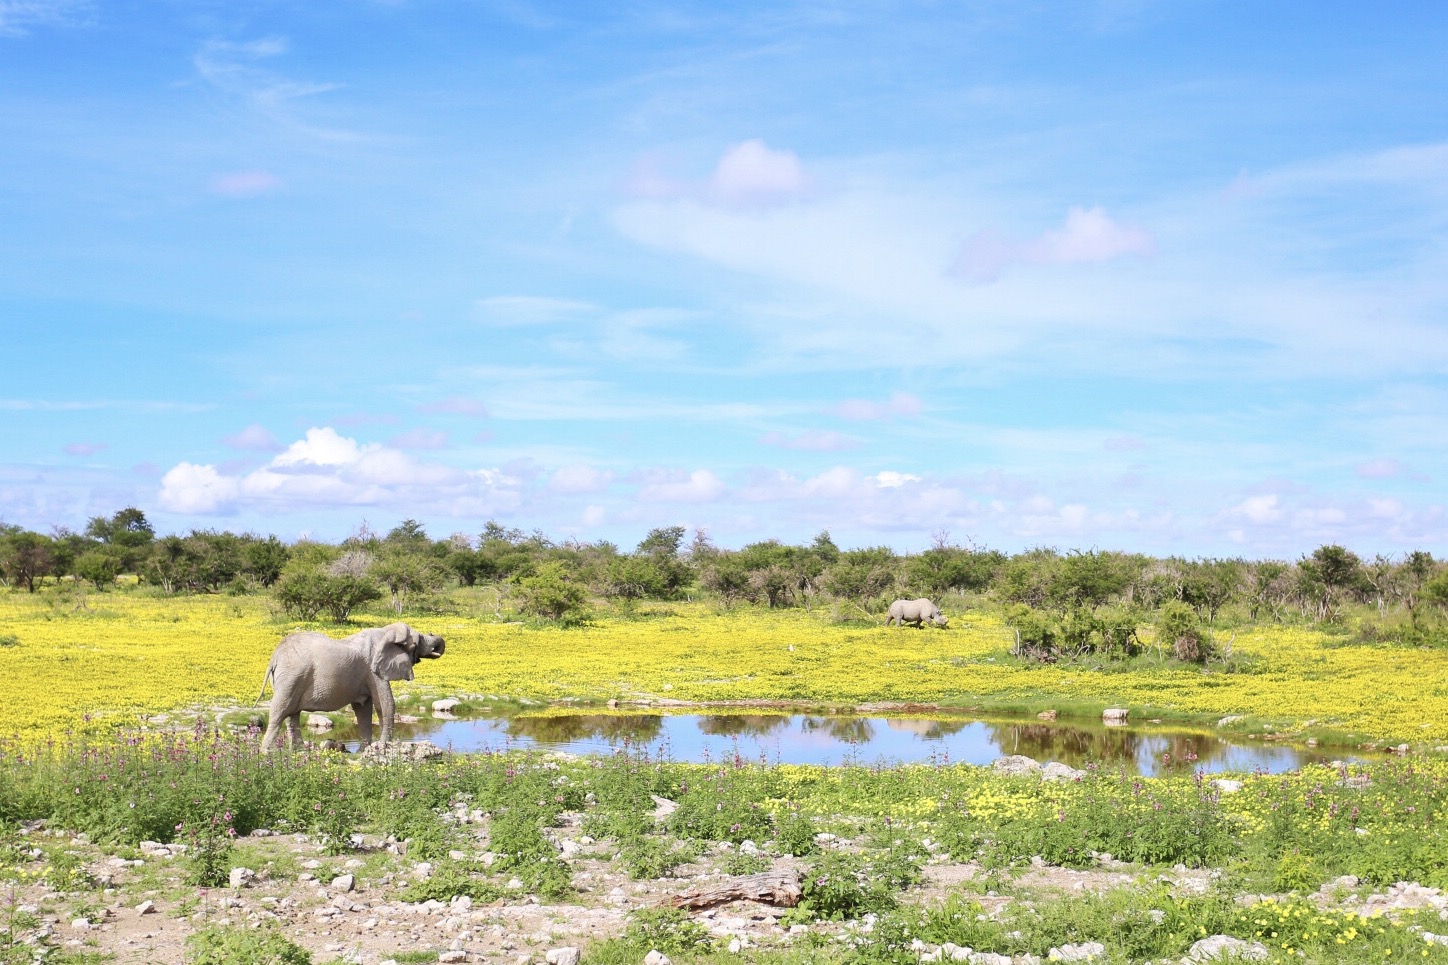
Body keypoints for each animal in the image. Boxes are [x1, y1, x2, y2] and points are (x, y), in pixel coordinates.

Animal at [254, 620, 443, 747]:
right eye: (417, 642)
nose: (433, 636)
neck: (385, 632)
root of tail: (275, 657)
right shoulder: (374, 670)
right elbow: (385, 705)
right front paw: (383, 747)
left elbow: (363, 709)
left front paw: (365, 750)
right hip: (291, 677)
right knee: (279, 713)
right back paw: (266, 754)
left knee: (292, 715)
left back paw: (298, 752)